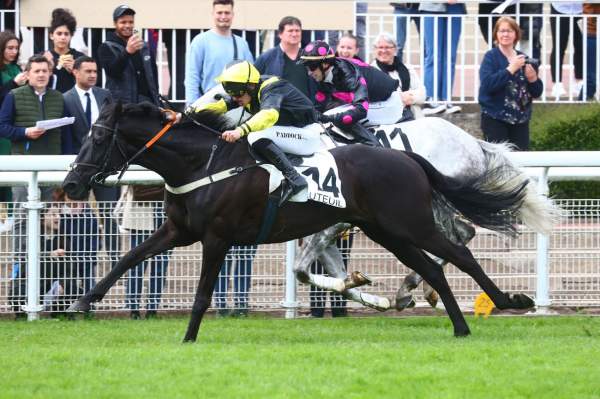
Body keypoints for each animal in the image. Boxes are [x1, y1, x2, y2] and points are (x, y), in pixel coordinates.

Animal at [63, 101, 536, 342]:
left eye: (99, 137)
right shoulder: (178, 231)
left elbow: (201, 294)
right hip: (388, 231)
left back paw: (509, 301)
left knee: (460, 253)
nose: (71, 183)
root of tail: (407, 157)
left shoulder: (216, 237)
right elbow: (129, 258)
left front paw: (189, 338)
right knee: (434, 267)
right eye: (85, 134)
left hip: (409, 224)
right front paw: (82, 302)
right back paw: (456, 325)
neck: (204, 163)